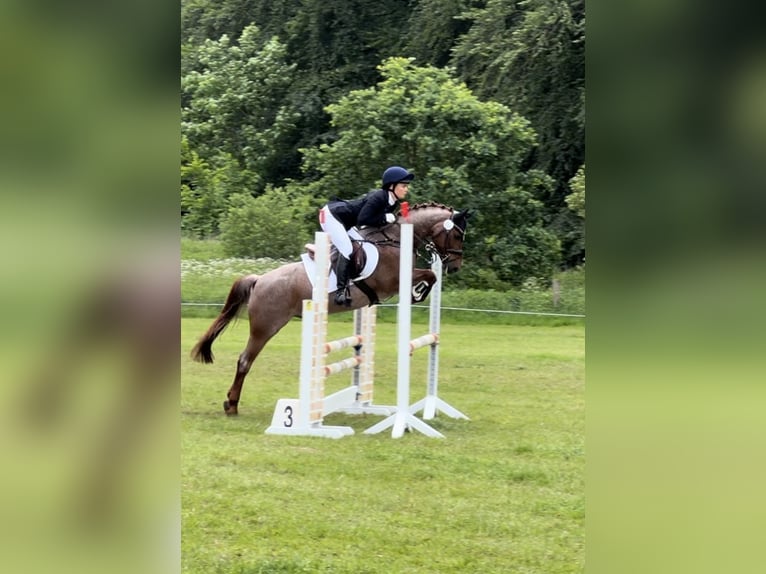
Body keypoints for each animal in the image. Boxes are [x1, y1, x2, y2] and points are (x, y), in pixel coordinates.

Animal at [189, 205, 472, 416]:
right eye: (458, 235)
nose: (455, 267)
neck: (397, 239)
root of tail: (259, 280)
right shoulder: (391, 281)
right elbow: (427, 275)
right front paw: (417, 294)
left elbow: (428, 275)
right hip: (265, 327)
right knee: (245, 360)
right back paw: (232, 405)